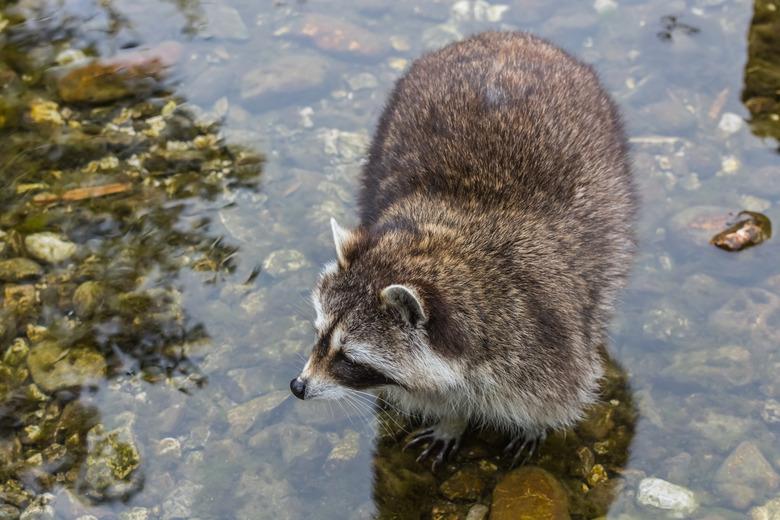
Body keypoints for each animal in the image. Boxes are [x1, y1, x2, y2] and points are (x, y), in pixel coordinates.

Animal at [290, 30, 636, 470]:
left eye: (350, 357)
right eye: (319, 334)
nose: (298, 386)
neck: (446, 240)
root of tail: (507, 37)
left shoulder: (546, 343)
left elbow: (556, 396)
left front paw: (533, 426)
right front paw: (451, 420)